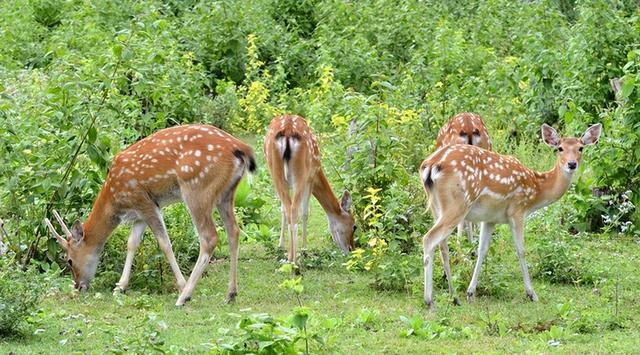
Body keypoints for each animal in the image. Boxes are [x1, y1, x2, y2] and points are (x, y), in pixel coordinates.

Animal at [44, 124, 258, 306]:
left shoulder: (144, 201)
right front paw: (120, 286)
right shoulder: (139, 214)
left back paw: (184, 296)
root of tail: (241, 148)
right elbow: (132, 243)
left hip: (197, 188)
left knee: (210, 237)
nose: (78, 285)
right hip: (227, 193)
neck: (115, 199)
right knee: (234, 231)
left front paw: (180, 284)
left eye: (69, 260)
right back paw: (231, 294)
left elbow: (164, 243)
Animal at [264, 115, 358, 262]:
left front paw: (280, 245)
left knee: (289, 209)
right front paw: (304, 249)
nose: (351, 249)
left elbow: (282, 210)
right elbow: (305, 213)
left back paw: (289, 257)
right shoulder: (310, 178)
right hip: (301, 174)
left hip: (275, 172)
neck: (318, 172)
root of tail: (288, 131)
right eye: (354, 226)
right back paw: (294, 259)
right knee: (295, 211)